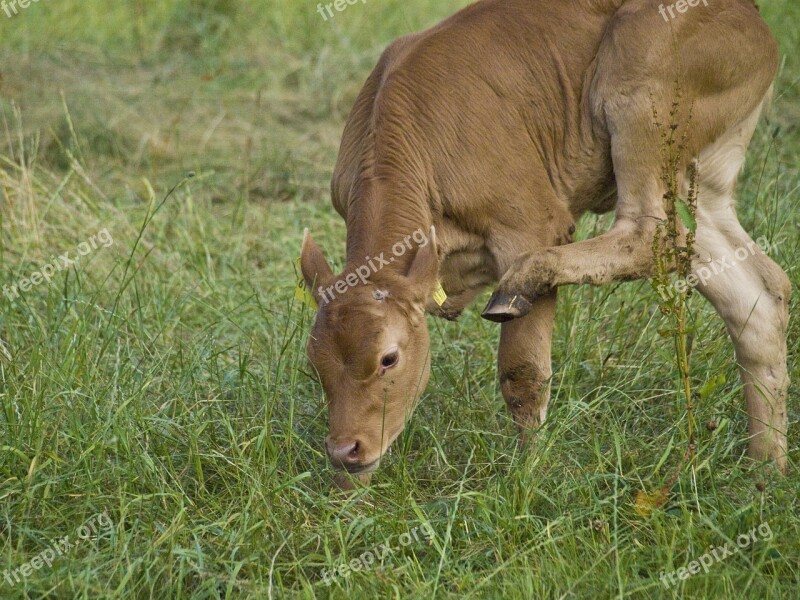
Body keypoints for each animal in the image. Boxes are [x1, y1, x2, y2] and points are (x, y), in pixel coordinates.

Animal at [304, 0, 792, 488]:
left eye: (388, 358)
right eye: (314, 362)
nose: (344, 449)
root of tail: (749, 14)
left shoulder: (531, 225)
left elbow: (522, 373)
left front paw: (527, 473)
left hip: (641, 90)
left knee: (648, 231)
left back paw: (523, 279)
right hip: (700, 182)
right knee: (756, 295)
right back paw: (765, 470)